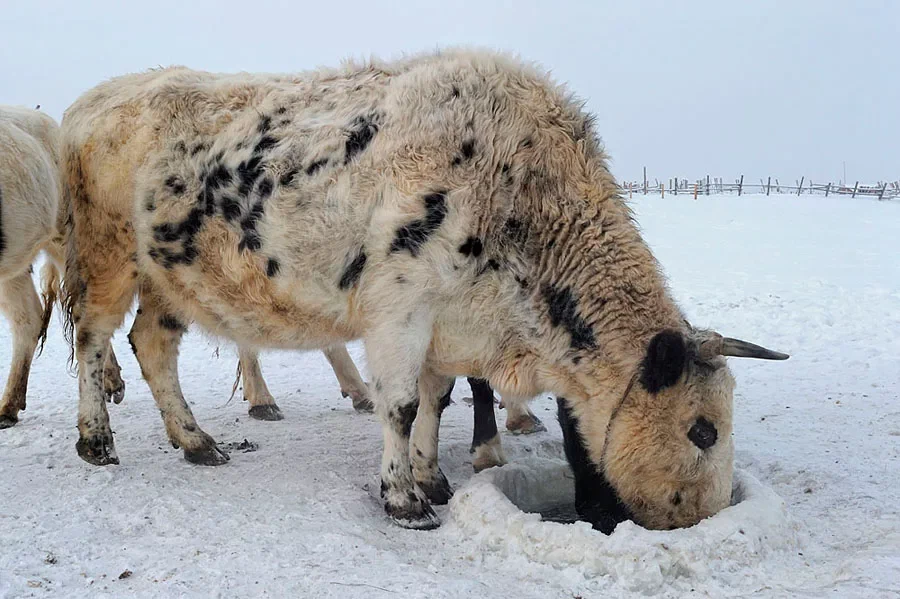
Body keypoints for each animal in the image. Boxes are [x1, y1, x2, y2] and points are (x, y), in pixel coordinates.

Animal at [61, 50, 788, 528]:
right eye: (702, 430)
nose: (703, 514)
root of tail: (86, 104)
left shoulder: (448, 324)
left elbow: (436, 401)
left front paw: (432, 476)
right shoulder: (400, 309)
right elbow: (402, 404)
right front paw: (404, 498)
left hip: (167, 277)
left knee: (152, 346)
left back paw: (196, 441)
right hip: (108, 256)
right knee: (93, 338)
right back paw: (97, 442)